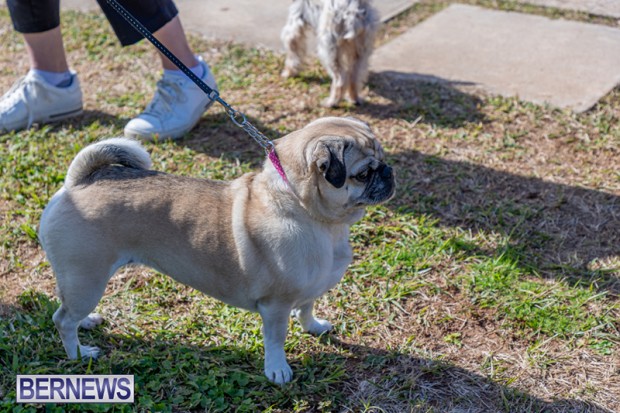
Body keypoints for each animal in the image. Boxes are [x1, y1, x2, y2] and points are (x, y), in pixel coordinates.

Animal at [39, 117, 395, 384]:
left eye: (383, 158)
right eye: (363, 173)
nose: (389, 172)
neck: (318, 219)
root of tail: (78, 183)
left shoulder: (309, 288)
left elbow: (306, 308)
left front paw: (314, 327)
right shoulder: (275, 307)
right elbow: (276, 339)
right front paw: (277, 369)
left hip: (80, 280)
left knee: (67, 307)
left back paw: (87, 323)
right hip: (88, 278)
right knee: (63, 320)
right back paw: (79, 354)